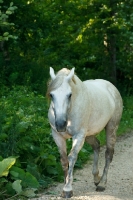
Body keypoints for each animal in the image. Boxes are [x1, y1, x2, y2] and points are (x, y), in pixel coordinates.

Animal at [47, 67, 123, 198]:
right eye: (52, 95)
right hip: (88, 135)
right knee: (96, 145)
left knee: (108, 154)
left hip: (111, 128)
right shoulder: (57, 136)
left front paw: (68, 189)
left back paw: (102, 183)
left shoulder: (78, 136)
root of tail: (112, 87)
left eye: (69, 95)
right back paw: (96, 178)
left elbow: (72, 157)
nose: (61, 124)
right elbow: (64, 159)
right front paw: (64, 187)